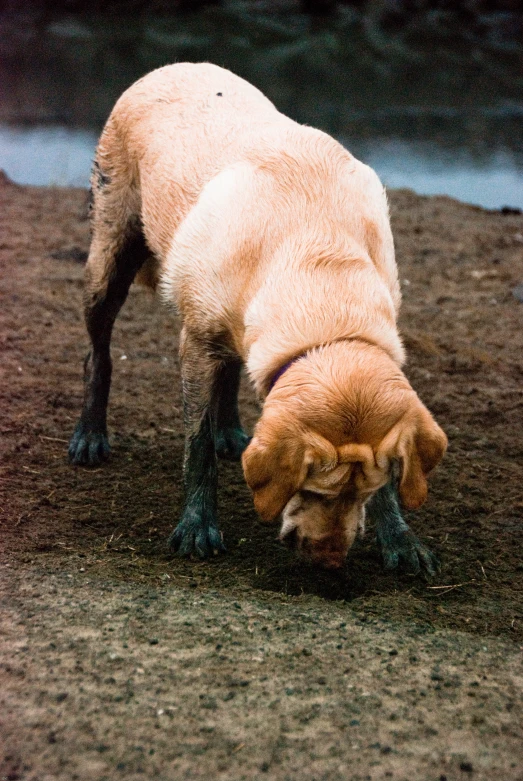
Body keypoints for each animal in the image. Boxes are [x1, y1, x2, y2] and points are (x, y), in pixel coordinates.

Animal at [67, 61, 448, 568]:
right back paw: (90, 437)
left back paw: (231, 433)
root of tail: (170, 66)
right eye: (312, 489)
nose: (329, 560)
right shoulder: (195, 342)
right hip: (110, 255)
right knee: (98, 352)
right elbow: (197, 446)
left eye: (364, 493)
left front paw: (401, 540)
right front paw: (197, 528)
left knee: (231, 363)